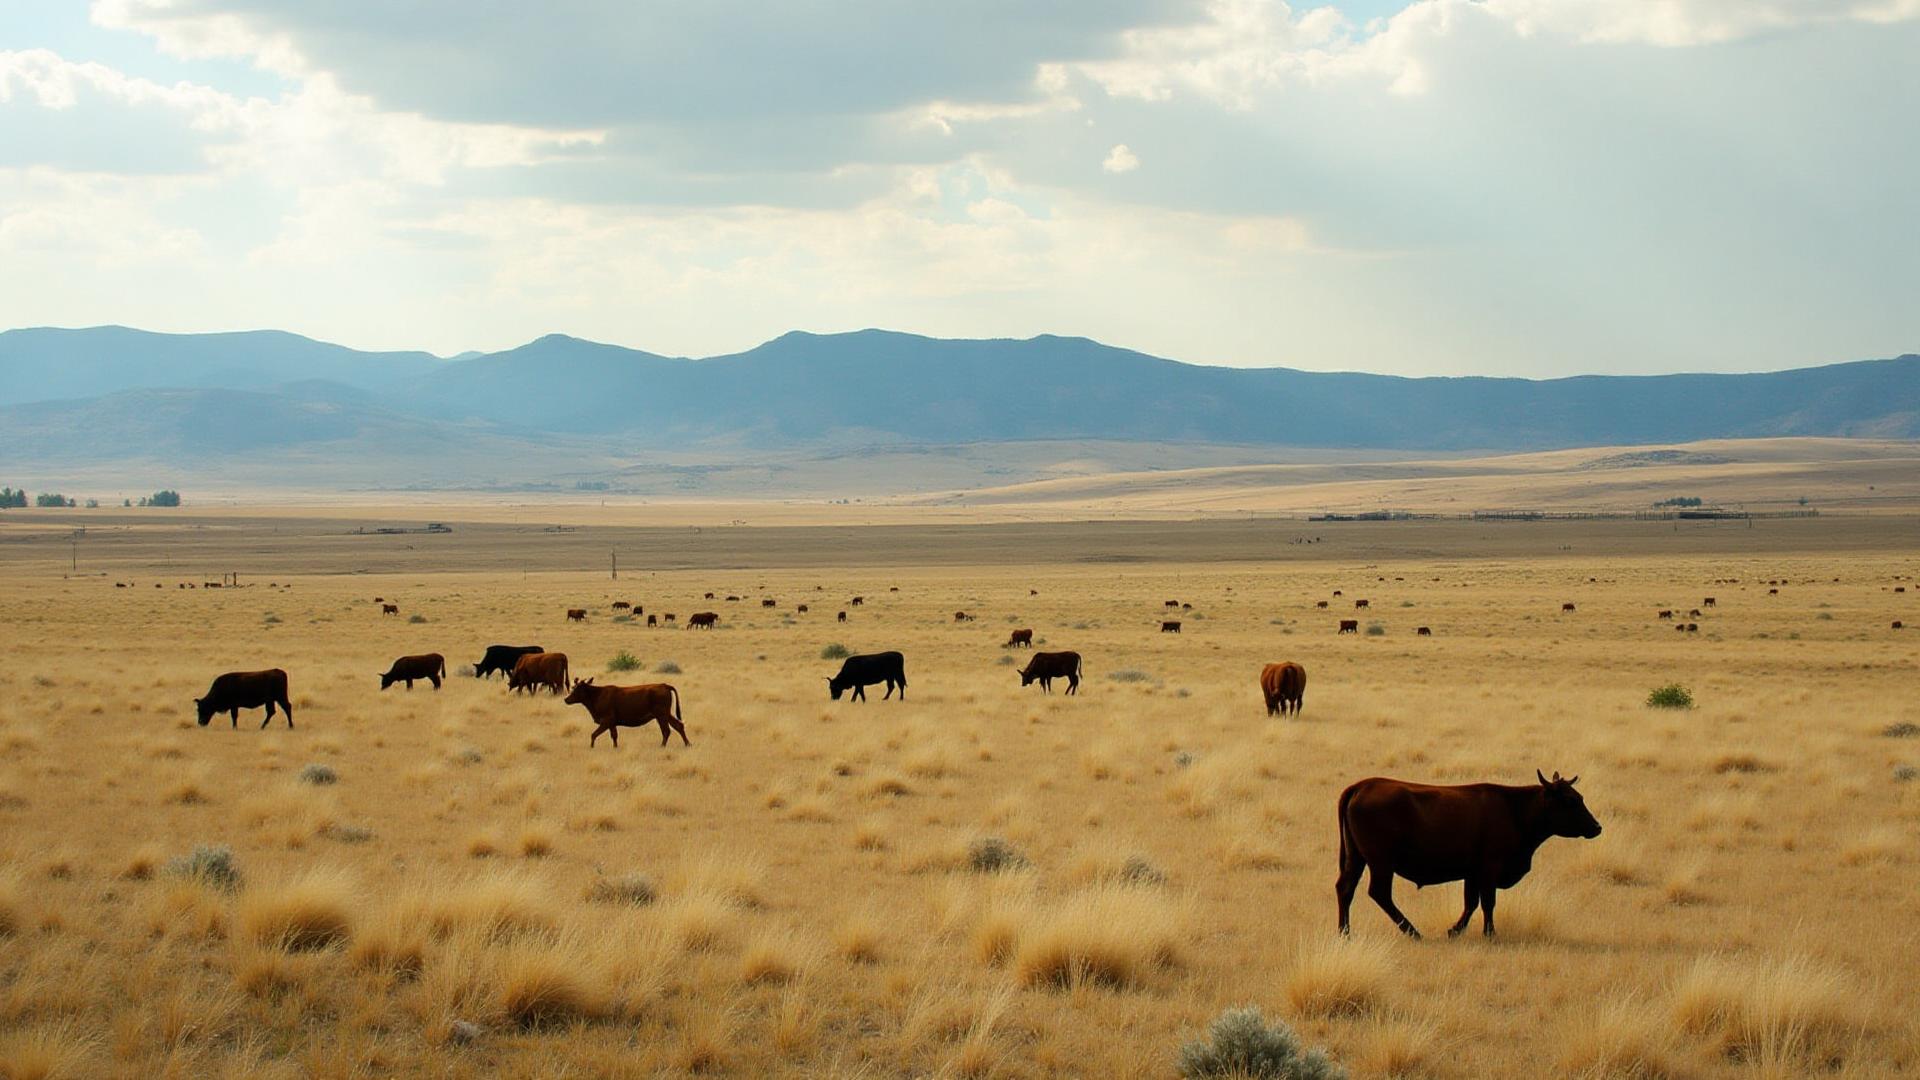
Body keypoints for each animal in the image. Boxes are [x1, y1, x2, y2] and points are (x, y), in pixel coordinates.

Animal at [1335, 771, 1602, 939]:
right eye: (1570, 801)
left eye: (1580, 797)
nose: (1597, 827)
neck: (1514, 809)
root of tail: (1361, 786)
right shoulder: (1489, 868)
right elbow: (1487, 902)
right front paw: (1490, 933)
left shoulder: (1472, 872)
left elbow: (1471, 902)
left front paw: (1455, 930)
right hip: (1381, 862)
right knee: (1379, 893)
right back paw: (1412, 931)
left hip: (1356, 858)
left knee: (1345, 888)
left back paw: (1344, 933)